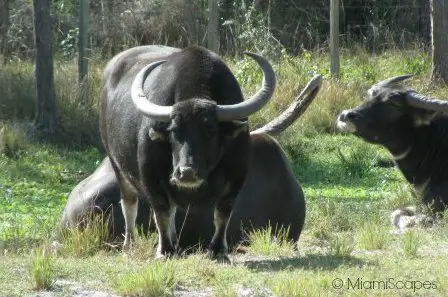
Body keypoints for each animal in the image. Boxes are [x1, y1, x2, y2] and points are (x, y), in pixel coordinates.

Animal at [101, 45, 276, 260]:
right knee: (129, 204)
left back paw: (176, 242)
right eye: (174, 130)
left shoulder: (237, 174)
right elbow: (161, 212)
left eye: (210, 129)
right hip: (117, 165)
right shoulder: (151, 176)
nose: (187, 173)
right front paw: (164, 250)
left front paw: (218, 249)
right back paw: (130, 244)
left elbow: (223, 212)